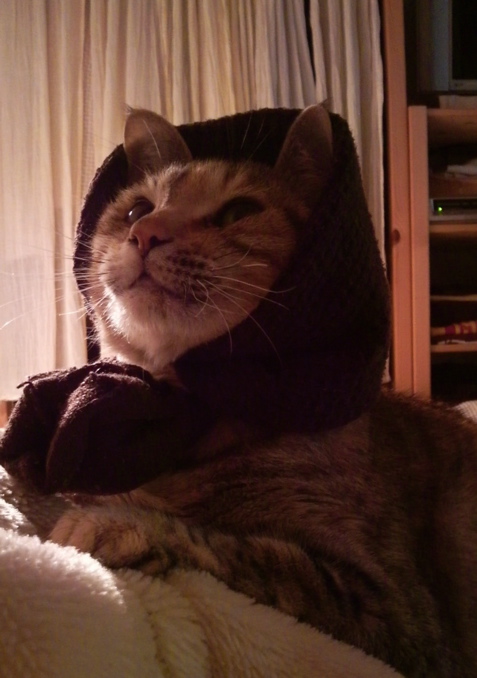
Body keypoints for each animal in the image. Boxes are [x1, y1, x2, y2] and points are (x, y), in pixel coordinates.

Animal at [50, 105, 477, 678]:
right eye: (138, 207)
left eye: (238, 212)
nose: (145, 232)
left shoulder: (396, 616)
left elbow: (241, 551)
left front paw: (113, 521)